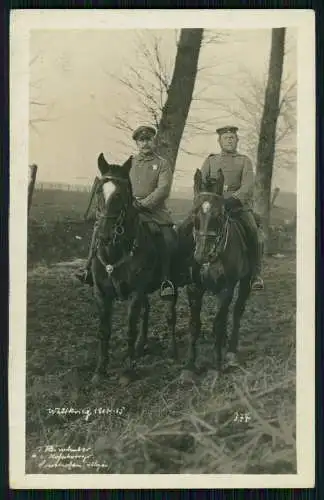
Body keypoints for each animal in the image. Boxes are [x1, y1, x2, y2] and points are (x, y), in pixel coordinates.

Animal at [88, 154, 190, 384]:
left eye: (121, 193)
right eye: (99, 191)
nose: (104, 235)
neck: (115, 251)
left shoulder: (135, 292)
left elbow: (130, 328)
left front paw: (128, 371)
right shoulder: (101, 293)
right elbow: (103, 330)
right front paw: (99, 371)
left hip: (170, 287)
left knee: (170, 315)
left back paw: (172, 352)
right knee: (147, 311)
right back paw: (141, 346)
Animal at [180, 166, 253, 380]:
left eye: (219, 216)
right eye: (194, 215)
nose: (202, 255)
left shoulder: (226, 290)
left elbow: (218, 325)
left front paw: (216, 366)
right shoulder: (194, 288)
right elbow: (194, 325)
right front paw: (189, 367)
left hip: (246, 282)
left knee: (237, 312)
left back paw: (231, 352)